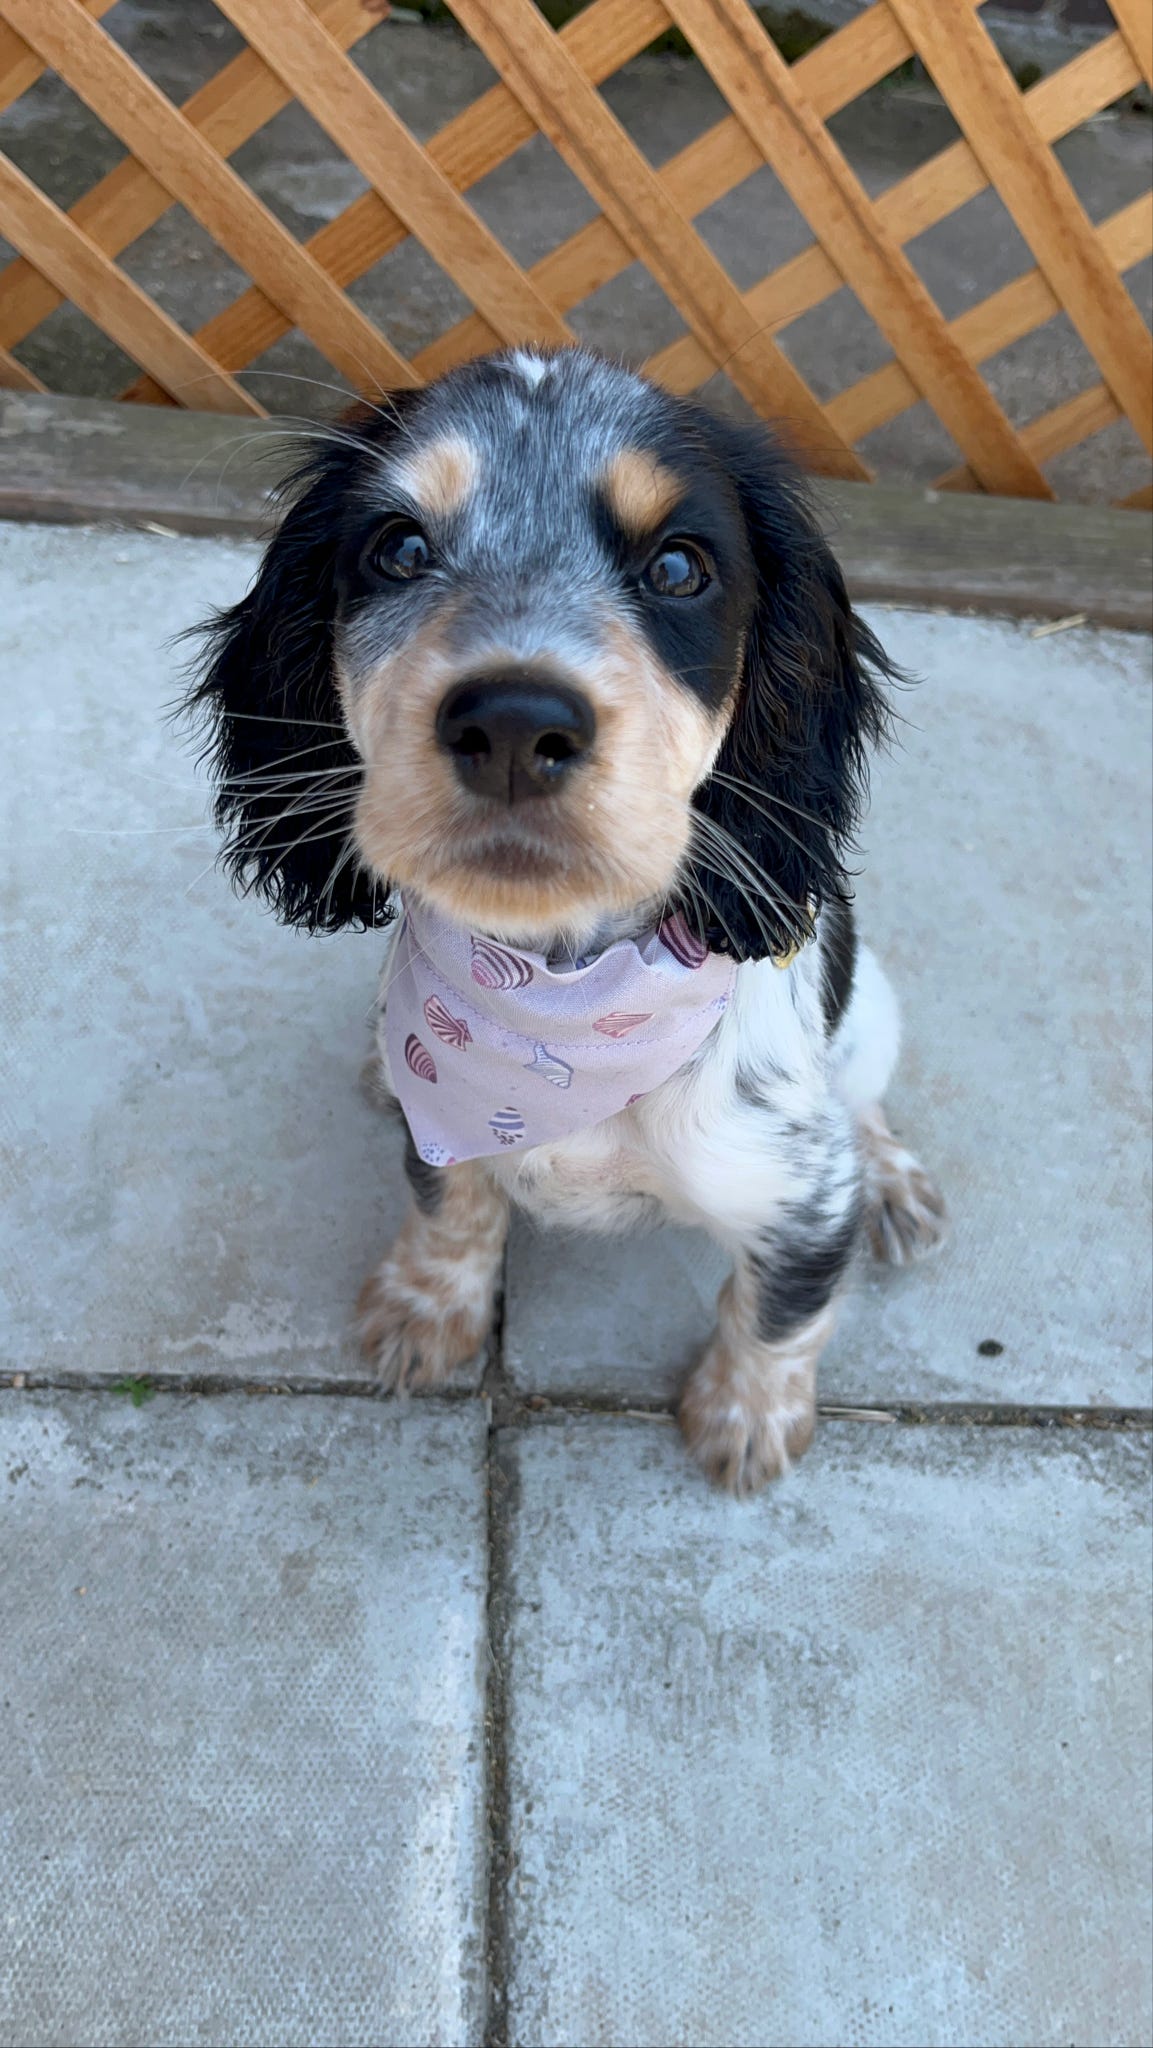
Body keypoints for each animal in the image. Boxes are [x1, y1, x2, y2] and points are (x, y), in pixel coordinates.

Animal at [191, 344, 946, 1499]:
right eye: (398, 548)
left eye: (679, 567)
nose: (512, 723)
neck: (562, 996)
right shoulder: (445, 1124)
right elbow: (449, 1206)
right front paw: (427, 1308)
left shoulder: (802, 1193)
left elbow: (781, 1310)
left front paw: (746, 1415)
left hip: (872, 1015)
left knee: (863, 1097)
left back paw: (896, 1180)